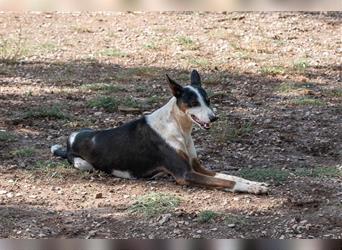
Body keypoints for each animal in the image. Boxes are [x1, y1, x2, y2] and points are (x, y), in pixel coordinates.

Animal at [51, 69, 270, 194]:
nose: (213, 118)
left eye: (208, 100)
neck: (179, 128)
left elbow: (230, 177)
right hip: (83, 164)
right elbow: (226, 182)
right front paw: (252, 188)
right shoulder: (185, 174)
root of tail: (70, 140)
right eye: (193, 102)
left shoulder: (196, 166)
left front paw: (255, 183)